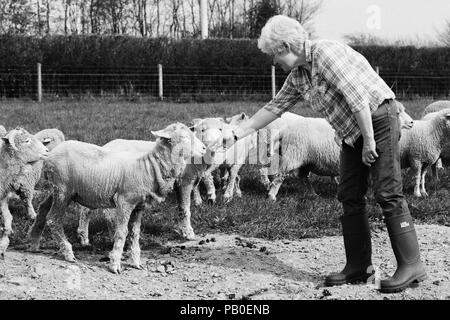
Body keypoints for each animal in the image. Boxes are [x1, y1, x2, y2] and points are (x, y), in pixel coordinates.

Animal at [0, 127, 49, 258]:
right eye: (26, 141)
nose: (47, 151)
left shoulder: (2, 195)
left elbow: (8, 219)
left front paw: (3, 245)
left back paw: (33, 215)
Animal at [29, 122, 208, 272]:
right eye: (184, 137)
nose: (205, 149)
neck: (149, 167)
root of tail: (50, 154)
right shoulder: (125, 201)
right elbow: (122, 232)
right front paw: (115, 263)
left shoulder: (139, 206)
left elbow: (135, 234)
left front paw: (136, 262)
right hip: (62, 190)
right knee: (53, 219)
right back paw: (67, 252)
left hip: (58, 190)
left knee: (43, 209)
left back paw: (34, 242)